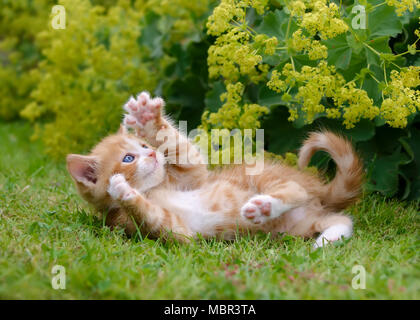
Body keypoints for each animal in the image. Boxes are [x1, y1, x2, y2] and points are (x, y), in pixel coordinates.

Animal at [67, 91, 362, 249]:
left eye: (143, 145)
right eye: (128, 158)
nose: (152, 153)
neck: (153, 189)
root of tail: (318, 189)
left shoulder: (193, 177)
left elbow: (189, 158)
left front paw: (148, 118)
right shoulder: (160, 230)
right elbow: (158, 221)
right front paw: (124, 191)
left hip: (263, 176)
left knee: (295, 189)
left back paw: (267, 204)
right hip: (297, 226)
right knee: (340, 219)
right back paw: (324, 237)